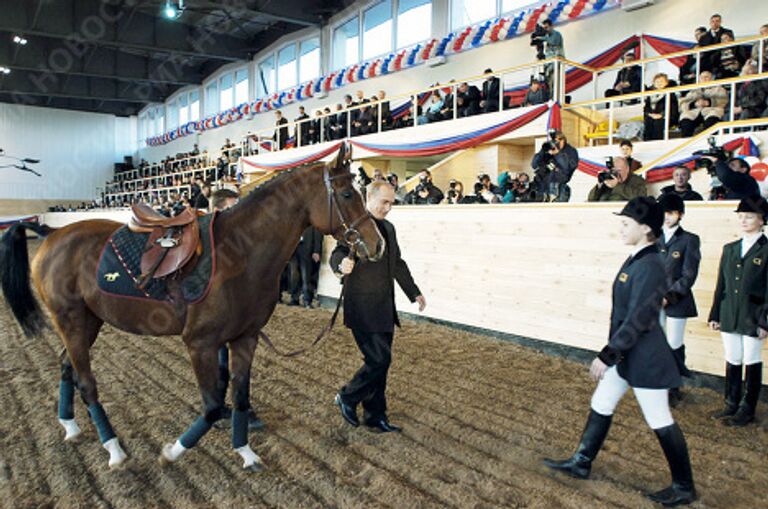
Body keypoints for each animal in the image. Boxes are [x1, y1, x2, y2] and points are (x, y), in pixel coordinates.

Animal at [0, 142, 384, 468]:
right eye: (347, 193)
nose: (376, 243)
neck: (239, 253)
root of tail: (52, 233)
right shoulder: (200, 343)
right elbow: (212, 406)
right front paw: (172, 451)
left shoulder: (245, 338)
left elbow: (239, 397)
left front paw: (245, 451)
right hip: (71, 321)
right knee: (86, 381)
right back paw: (113, 448)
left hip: (88, 322)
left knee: (67, 367)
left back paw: (71, 426)